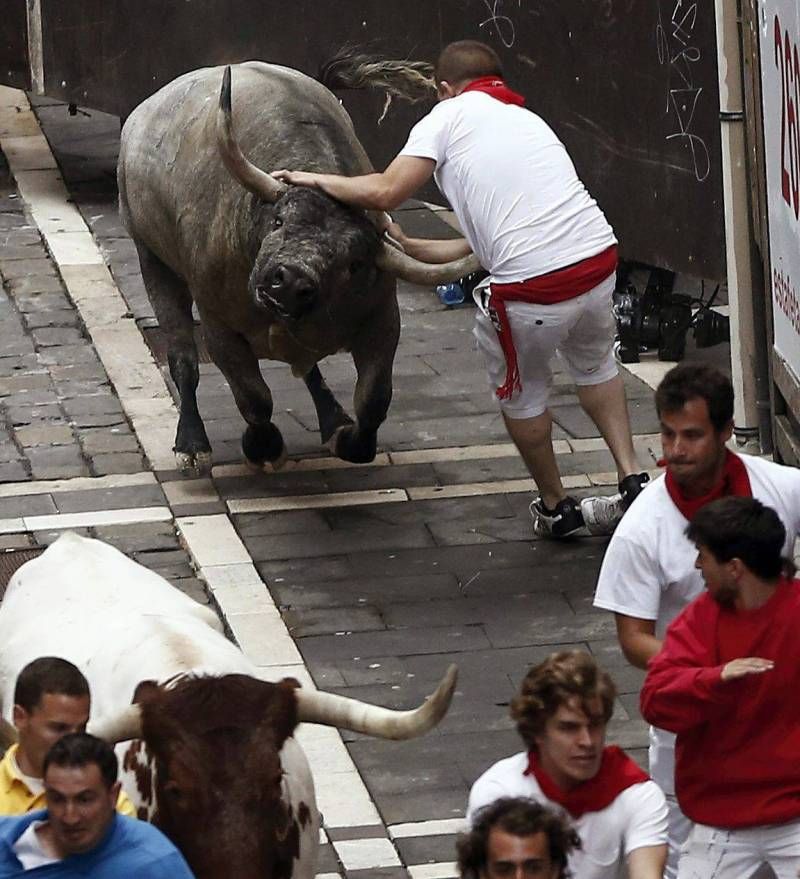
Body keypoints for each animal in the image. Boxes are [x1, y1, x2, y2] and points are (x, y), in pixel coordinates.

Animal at [120, 61, 476, 474]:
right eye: (278, 221)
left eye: (353, 263)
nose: (288, 283)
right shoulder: (217, 326)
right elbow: (253, 396)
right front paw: (264, 446)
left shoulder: (382, 319)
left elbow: (374, 398)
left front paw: (349, 438)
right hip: (153, 259)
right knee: (182, 356)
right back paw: (192, 444)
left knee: (307, 368)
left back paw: (332, 419)